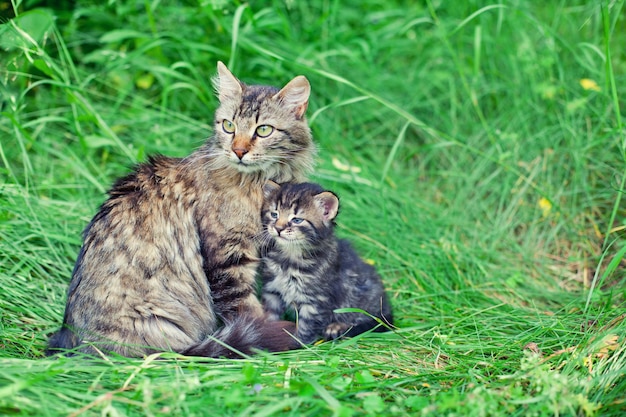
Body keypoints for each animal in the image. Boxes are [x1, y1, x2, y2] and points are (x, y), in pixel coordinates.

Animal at [46, 62, 314, 358]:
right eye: (229, 126)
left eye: (263, 130)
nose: (238, 151)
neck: (259, 182)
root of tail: (78, 343)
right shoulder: (227, 256)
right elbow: (245, 309)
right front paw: (263, 331)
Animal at [258, 180, 390, 342]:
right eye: (274, 214)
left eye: (296, 220)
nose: (278, 228)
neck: (289, 256)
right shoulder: (272, 290)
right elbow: (270, 315)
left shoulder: (315, 300)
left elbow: (306, 327)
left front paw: (296, 344)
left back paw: (337, 327)